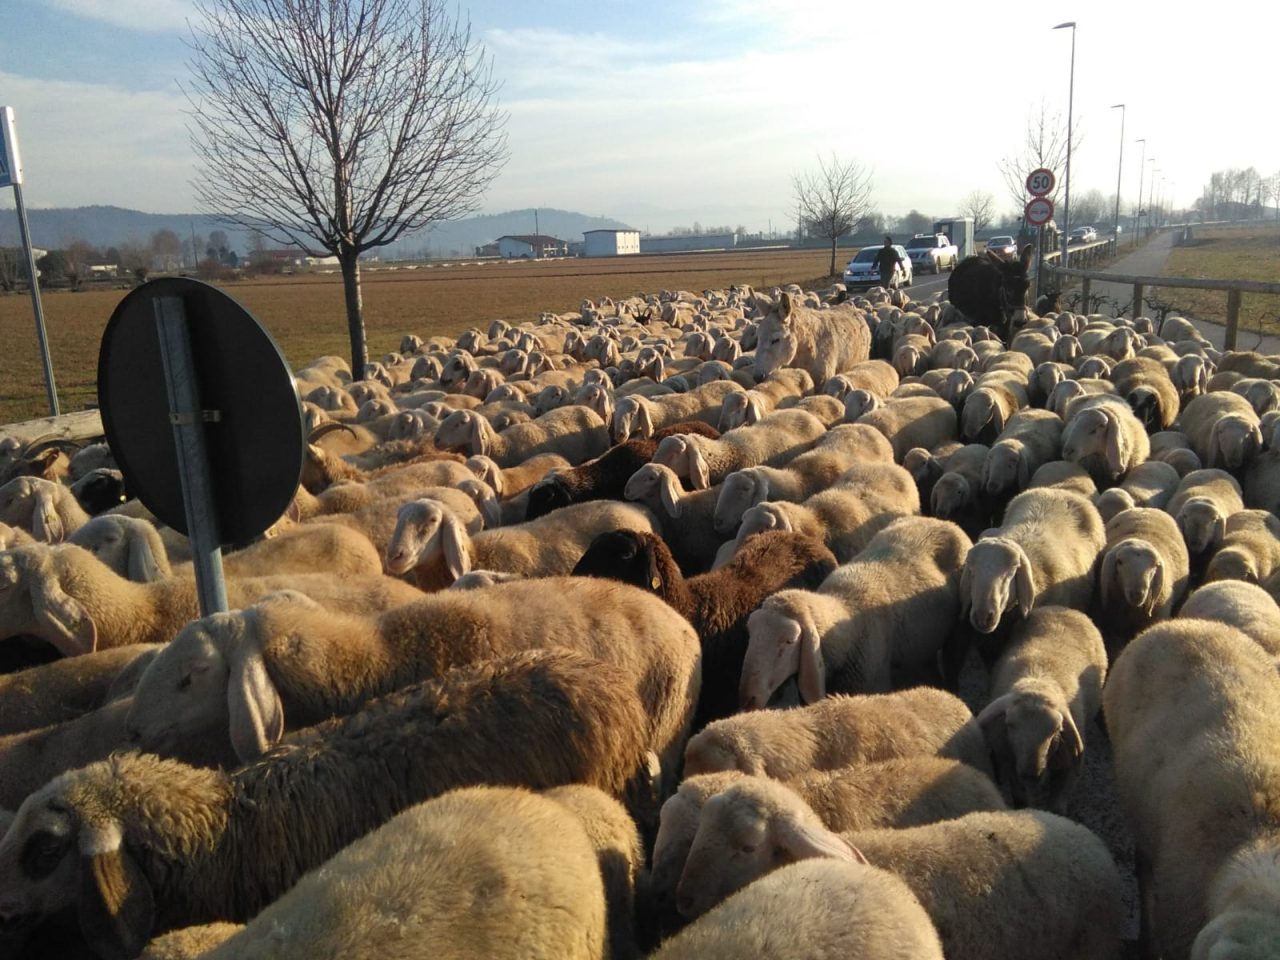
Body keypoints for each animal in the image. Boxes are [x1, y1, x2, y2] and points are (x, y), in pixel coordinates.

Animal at [739, 517, 970, 707]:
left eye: (789, 641)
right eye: (750, 634)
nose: (748, 698)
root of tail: (942, 521)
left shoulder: (872, 682)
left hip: (958, 632)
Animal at [975, 606, 1107, 812]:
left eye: (1056, 730)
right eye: (1010, 724)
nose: (1032, 774)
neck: (1037, 681)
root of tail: (1063, 608)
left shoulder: (1068, 770)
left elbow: (1057, 806)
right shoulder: (1011, 763)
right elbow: (1020, 798)